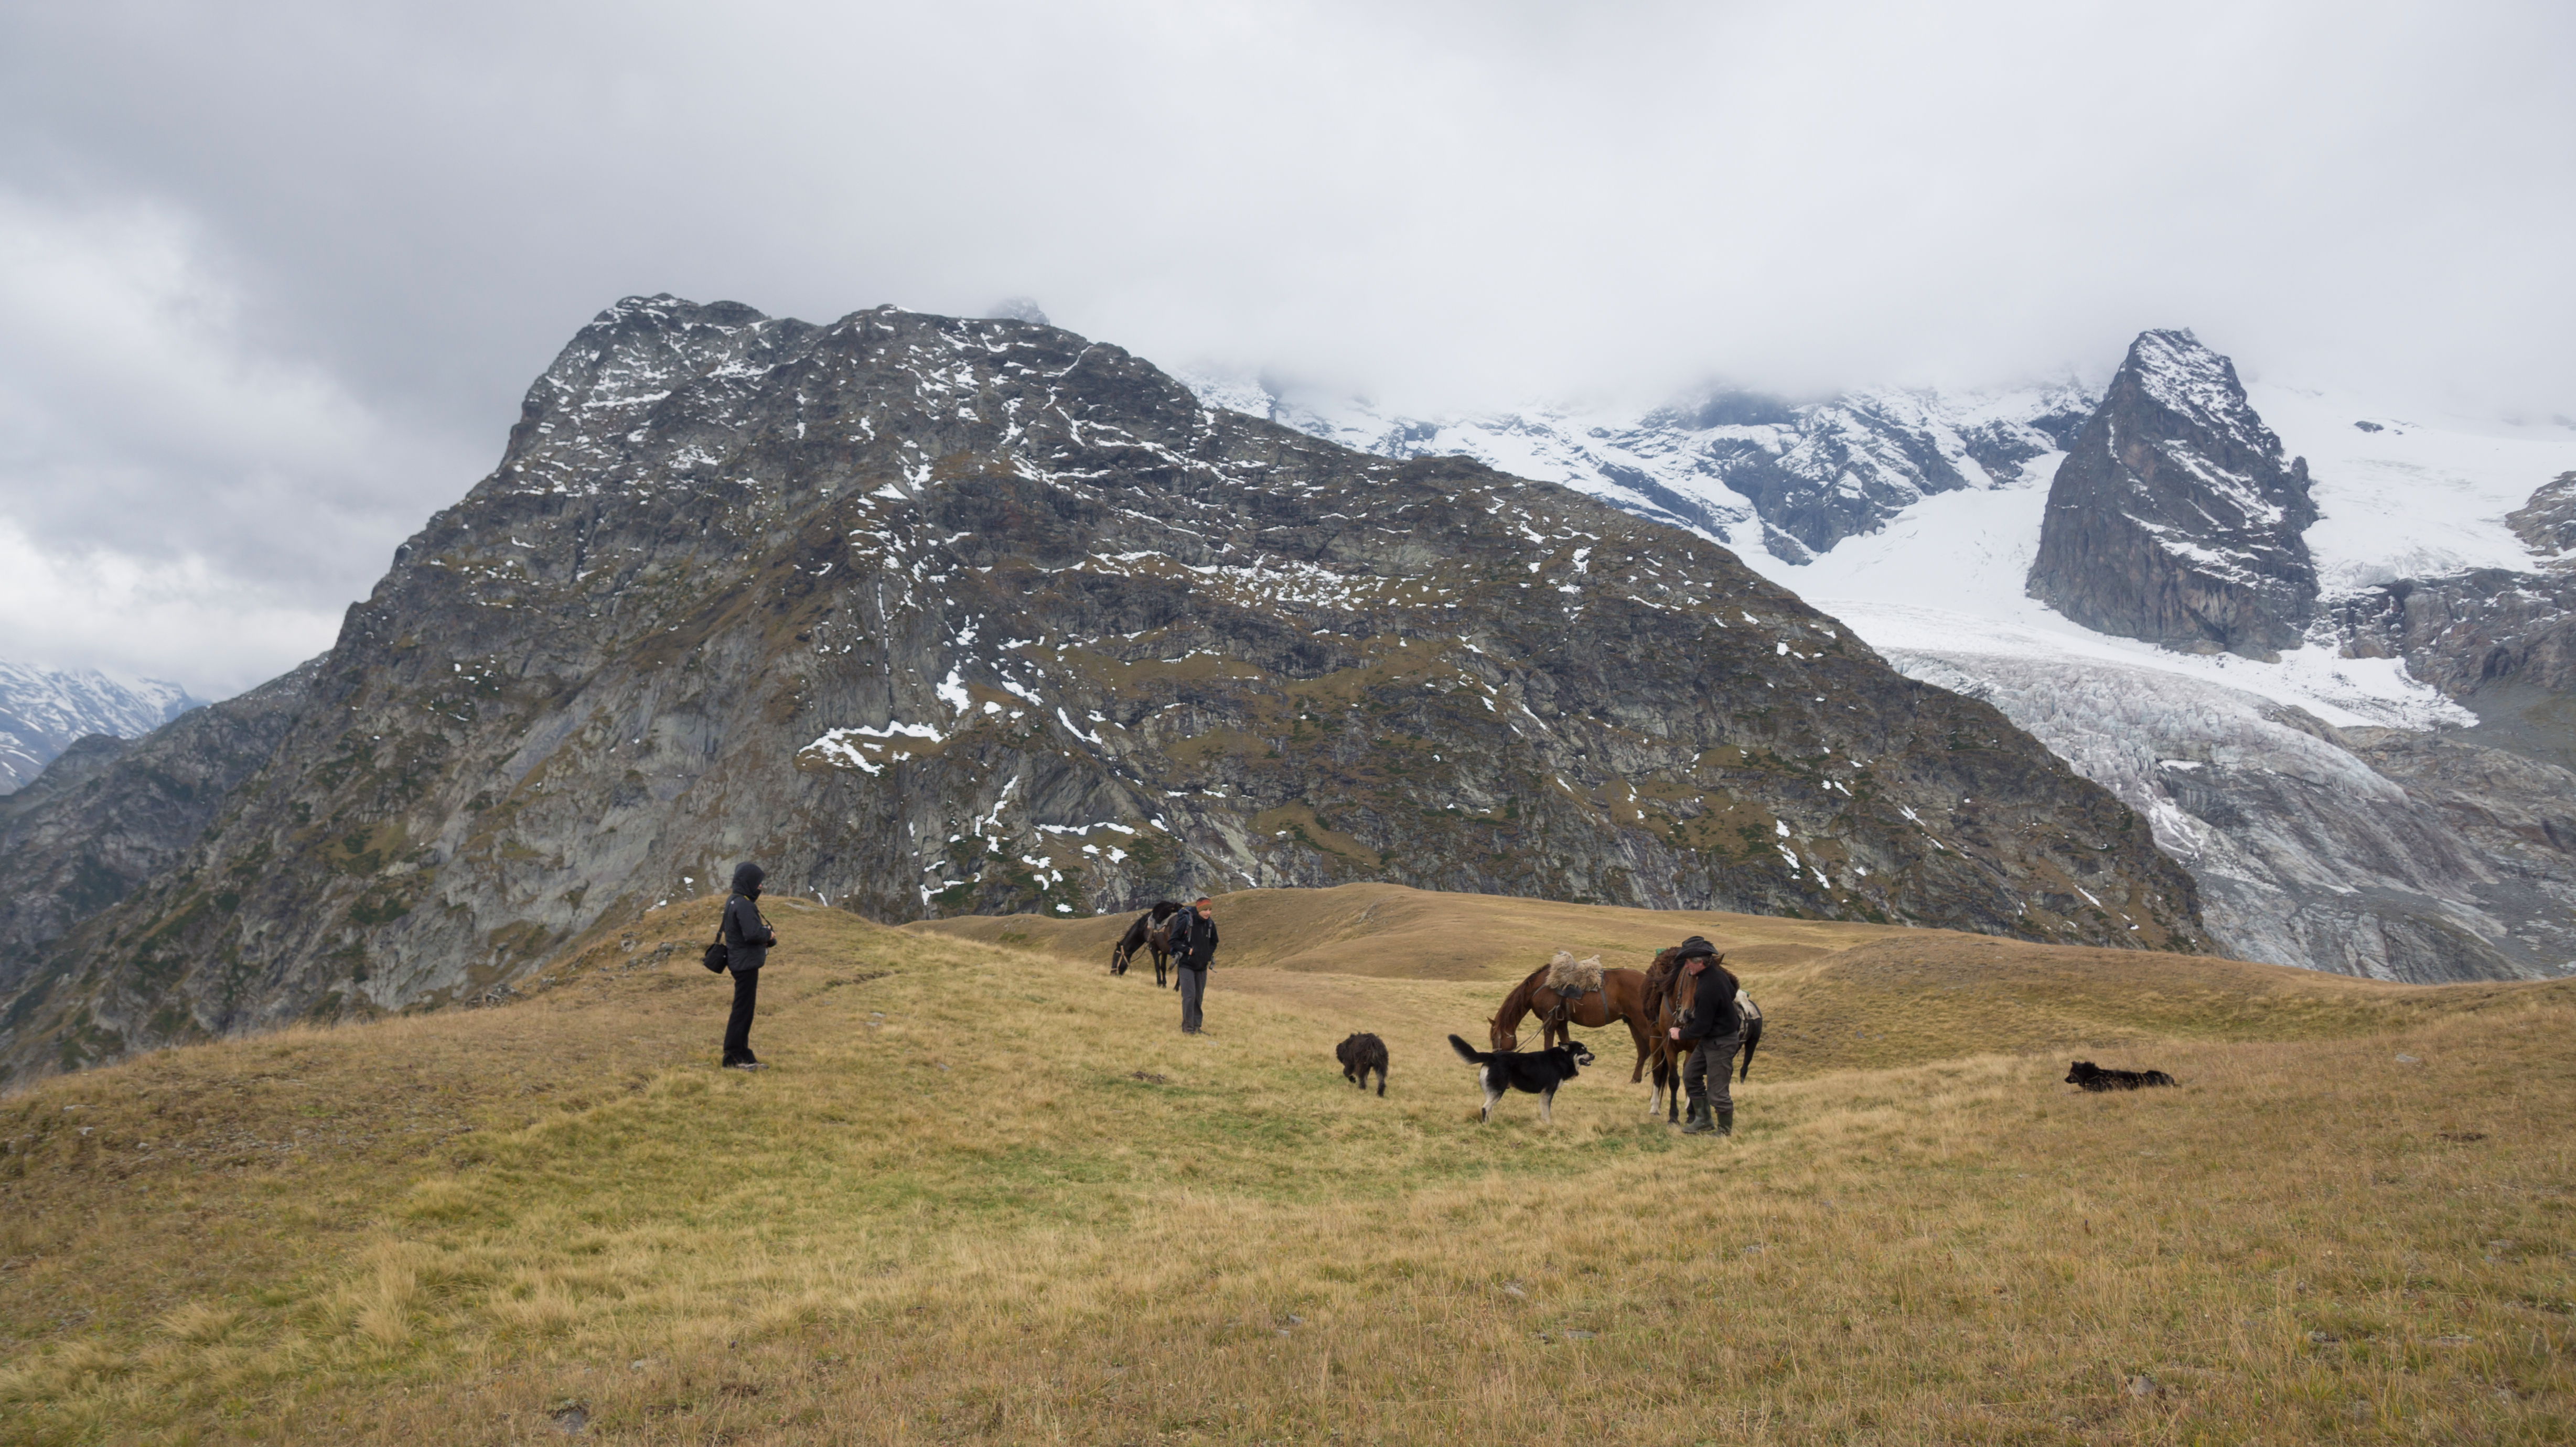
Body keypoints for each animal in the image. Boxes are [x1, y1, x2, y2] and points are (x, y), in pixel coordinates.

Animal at [1349, 1024, 1391, 1092]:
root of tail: (1373, 1046)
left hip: (1362, 1065)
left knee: (1362, 1076)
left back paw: (1362, 1087)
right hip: (1381, 1065)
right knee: (1381, 1079)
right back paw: (1380, 1091)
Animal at [1453, 1030, 1586, 1122]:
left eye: (1586, 1050)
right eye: (1582, 1051)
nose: (1592, 1056)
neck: (1561, 1059)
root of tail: (1492, 1057)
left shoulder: (1544, 1094)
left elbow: (1544, 1111)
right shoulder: (1548, 1092)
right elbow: (1547, 1112)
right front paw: (1549, 1125)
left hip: (1492, 1092)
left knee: (1490, 1108)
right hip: (1498, 1091)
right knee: (1485, 1108)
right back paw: (1486, 1126)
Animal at [1484, 963, 1659, 1097]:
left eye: (1493, 1038)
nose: (1495, 1056)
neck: (1539, 987)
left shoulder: (1549, 1022)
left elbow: (1548, 1045)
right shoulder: (1561, 1023)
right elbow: (1566, 1043)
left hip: (1644, 1023)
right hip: (1632, 1022)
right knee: (1643, 1050)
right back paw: (1635, 1080)